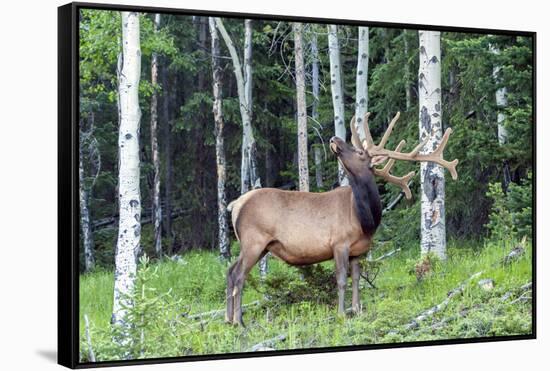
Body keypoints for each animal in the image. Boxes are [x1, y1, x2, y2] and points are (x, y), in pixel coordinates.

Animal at [226, 111, 460, 326]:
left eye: (359, 151)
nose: (334, 139)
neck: (365, 219)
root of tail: (235, 205)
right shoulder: (339, 243)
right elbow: (340, 280)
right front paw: (341, 313)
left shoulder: (358, 250)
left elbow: (356, 278)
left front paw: (356, 309)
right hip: (254, 240)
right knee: (239, 275)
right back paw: (239, 321)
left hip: (257, 245)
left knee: (229, 271)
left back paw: (228, 320)